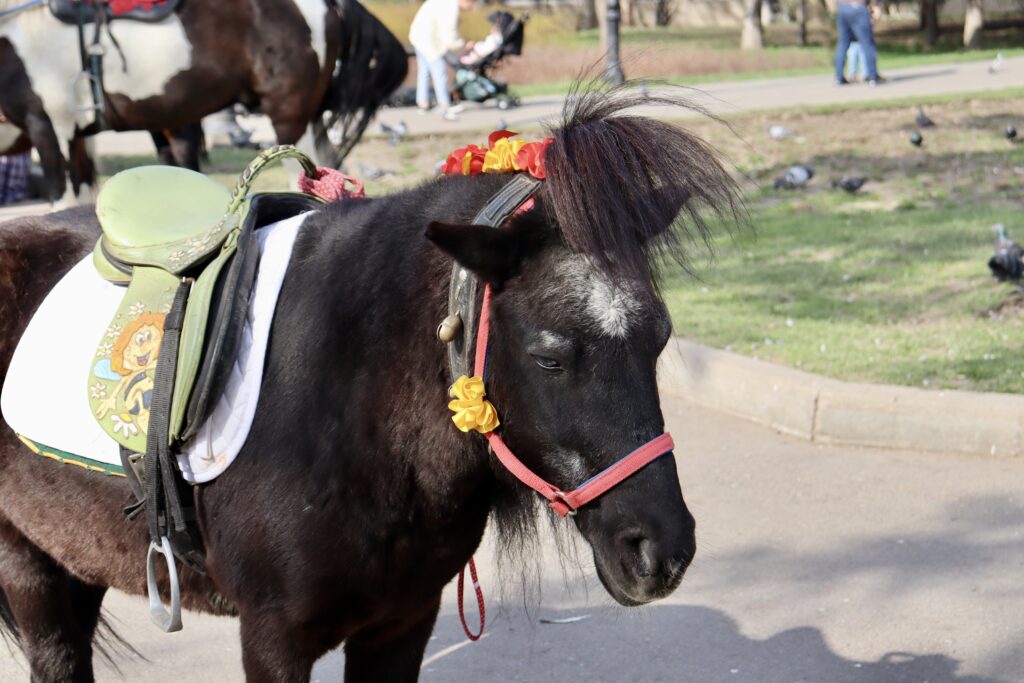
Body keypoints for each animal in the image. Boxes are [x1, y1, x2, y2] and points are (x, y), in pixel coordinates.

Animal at [0, 88, 741, 679]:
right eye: (550, 357)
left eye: (659, 339)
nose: (662, 549)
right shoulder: (272, 638)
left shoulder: (402, 622)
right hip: (29, 568)